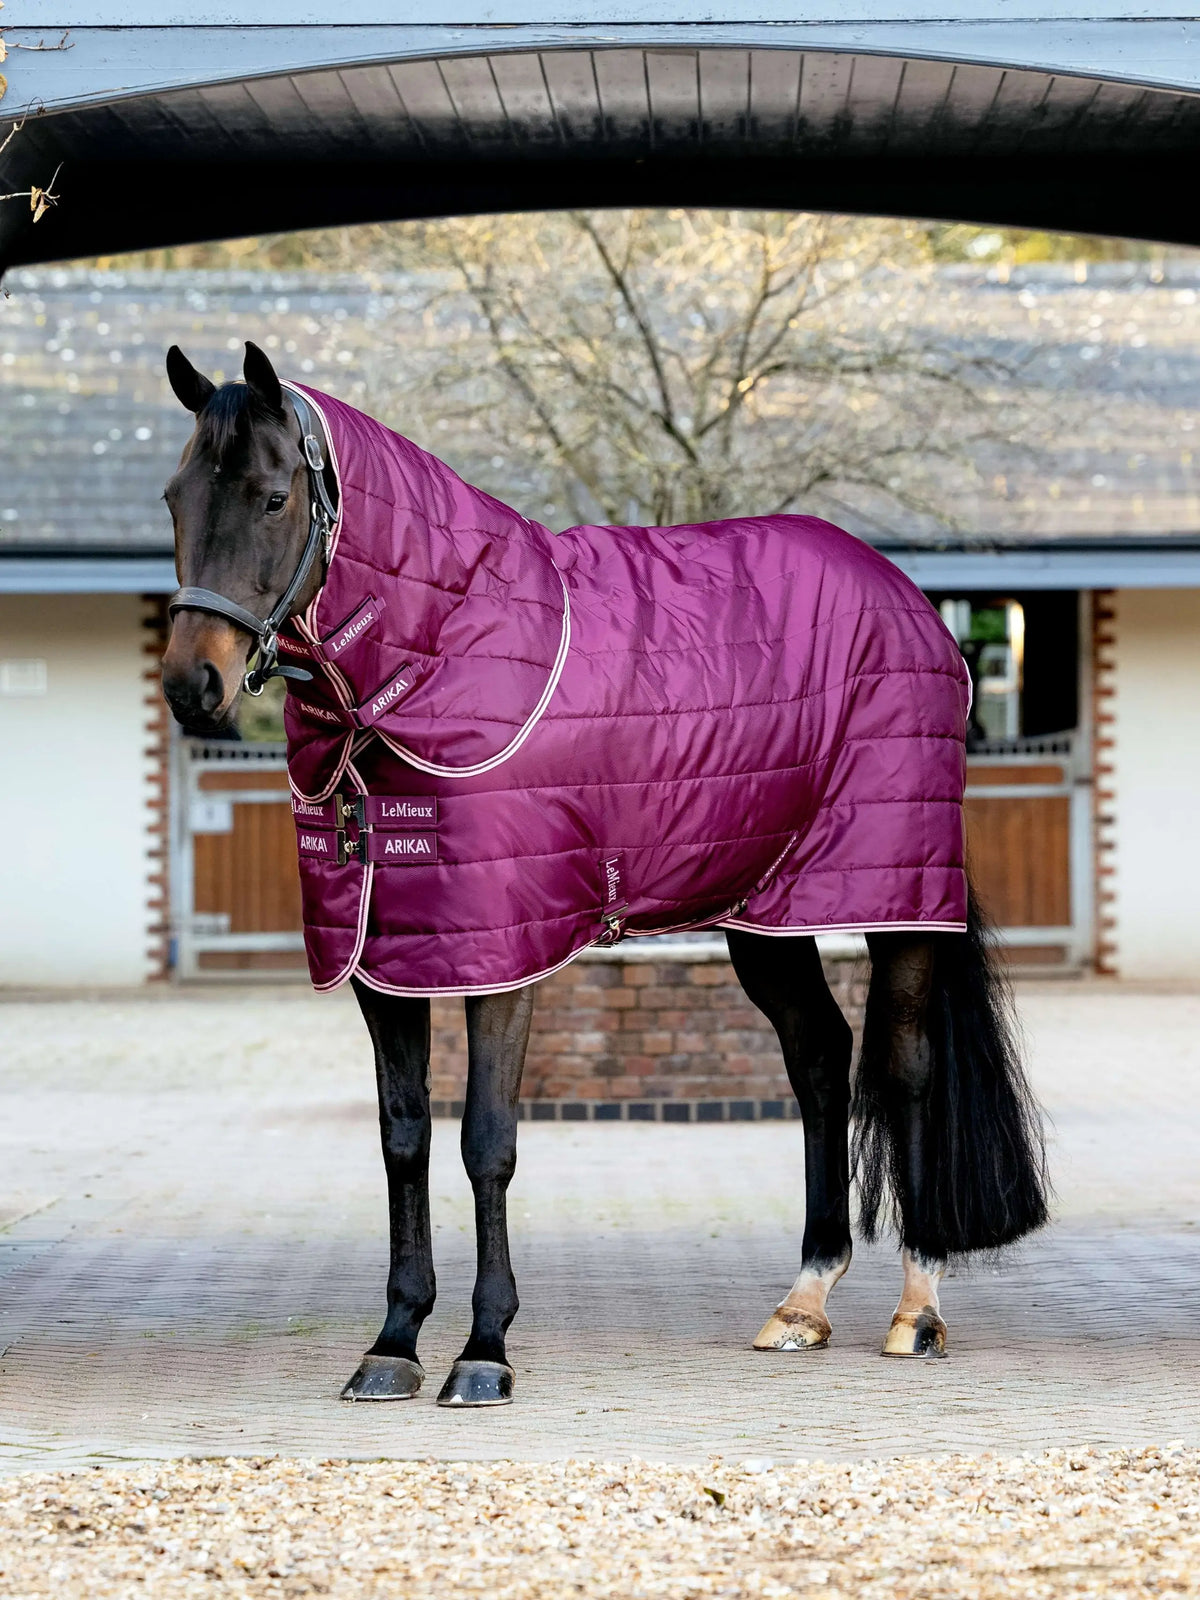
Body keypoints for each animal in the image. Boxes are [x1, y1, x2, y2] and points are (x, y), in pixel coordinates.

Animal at [160, 341, 1048, 1408]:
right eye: (174, 497)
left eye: (274, 496)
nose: (191, 684)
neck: (441, 645)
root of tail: (917, 609)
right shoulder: (388, 958)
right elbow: (403, 1139)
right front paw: (393, 1341)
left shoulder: (504, 958)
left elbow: (486, 1141)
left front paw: (484, 1350)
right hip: (765, 915)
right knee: (819, 1059)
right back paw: (804, 1300)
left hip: (896, 899)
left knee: (903, 1067)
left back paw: (916, 1312)